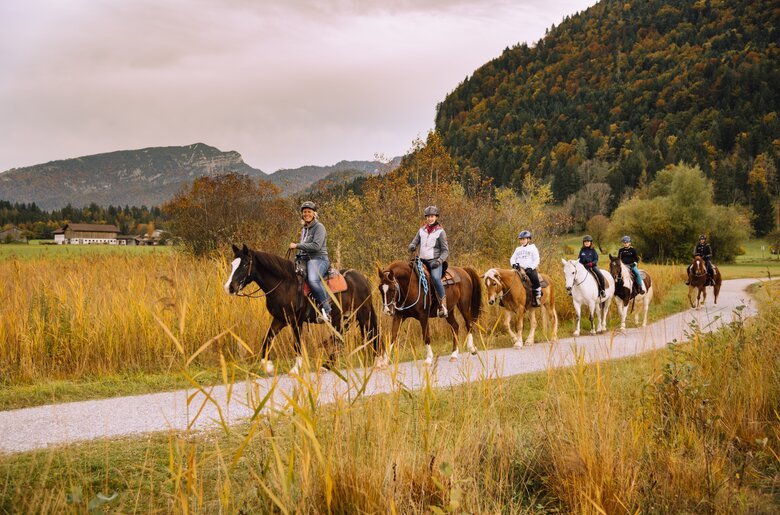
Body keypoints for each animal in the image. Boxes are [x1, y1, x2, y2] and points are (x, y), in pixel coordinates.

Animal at [224, 245, 380, 374]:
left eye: (245, 264)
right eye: (232, 264)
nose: (230, 287)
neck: (285, 284)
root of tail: (363, 279)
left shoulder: (297, 321)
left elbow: (297, 344)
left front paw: (295, 369)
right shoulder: (280, 319)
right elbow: (267, 338)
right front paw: (267, 366)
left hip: (363, 314)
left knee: (369, 333)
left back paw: (376, 360)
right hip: (341, 317)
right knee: (339, 338)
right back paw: (327, 365)